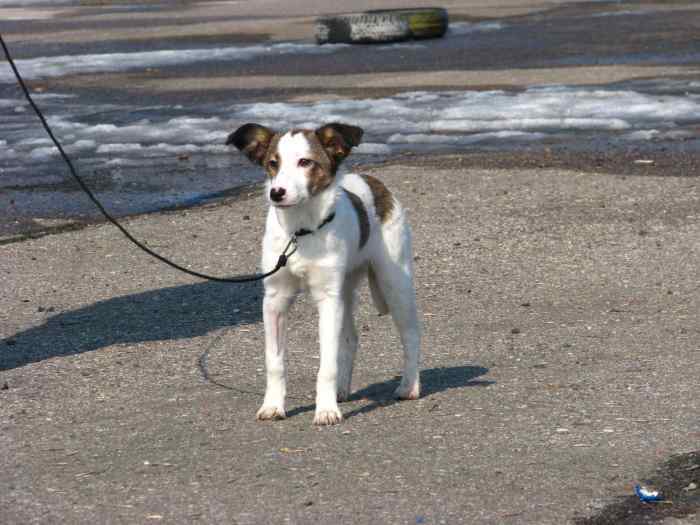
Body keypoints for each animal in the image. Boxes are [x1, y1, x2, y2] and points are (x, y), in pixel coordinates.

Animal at [227, 124, 418, 426]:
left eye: (305, 162)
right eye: (273, 163)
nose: (276, 193)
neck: (300, 232)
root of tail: (371, 180)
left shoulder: (328, 301)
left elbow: (326, 364)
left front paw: (326, 410)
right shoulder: (275, 300)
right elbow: (274, 362)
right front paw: (273, 405)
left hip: (395, 283)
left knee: (411, 335)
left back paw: (409, 386)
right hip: (346, 291)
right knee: (350, 338)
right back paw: (341, 389)